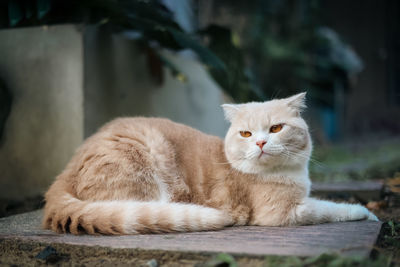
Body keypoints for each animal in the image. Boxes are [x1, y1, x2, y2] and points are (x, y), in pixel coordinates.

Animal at [43, 93, 378, 236]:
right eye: (246, 133)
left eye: (275, 129)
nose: (260, 143)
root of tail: (67, 167)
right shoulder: (284, 213)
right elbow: (330, 208)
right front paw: (365, 212)